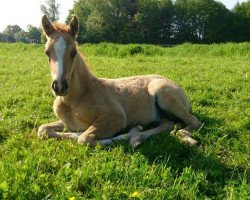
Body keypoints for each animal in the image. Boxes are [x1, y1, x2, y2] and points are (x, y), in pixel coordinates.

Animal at [38, 15, 201, 147]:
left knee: (193, 121)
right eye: (47, 52)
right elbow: (43, 129)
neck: (76, 98)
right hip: (162, 115)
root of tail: (175, 84)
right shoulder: (66, 122)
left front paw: (125, 134)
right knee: (168, 124)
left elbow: (83, 137)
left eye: (74, 52)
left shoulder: (117, 117)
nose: (59, 86)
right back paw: (137, 137)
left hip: (164, 95)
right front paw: (134, 132)